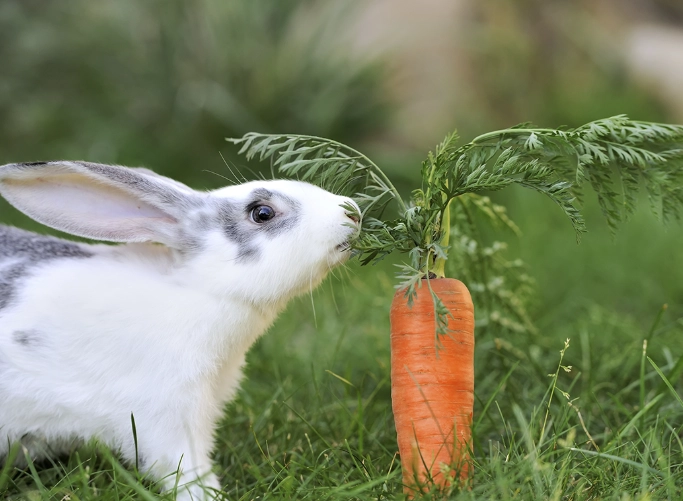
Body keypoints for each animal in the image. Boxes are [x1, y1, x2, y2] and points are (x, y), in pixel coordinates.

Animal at [0, 160, 361, 500]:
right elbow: (185, 468)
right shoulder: (166, 416)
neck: (199, 289)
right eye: (262, 213)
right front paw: (209, 495)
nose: (352, 212)